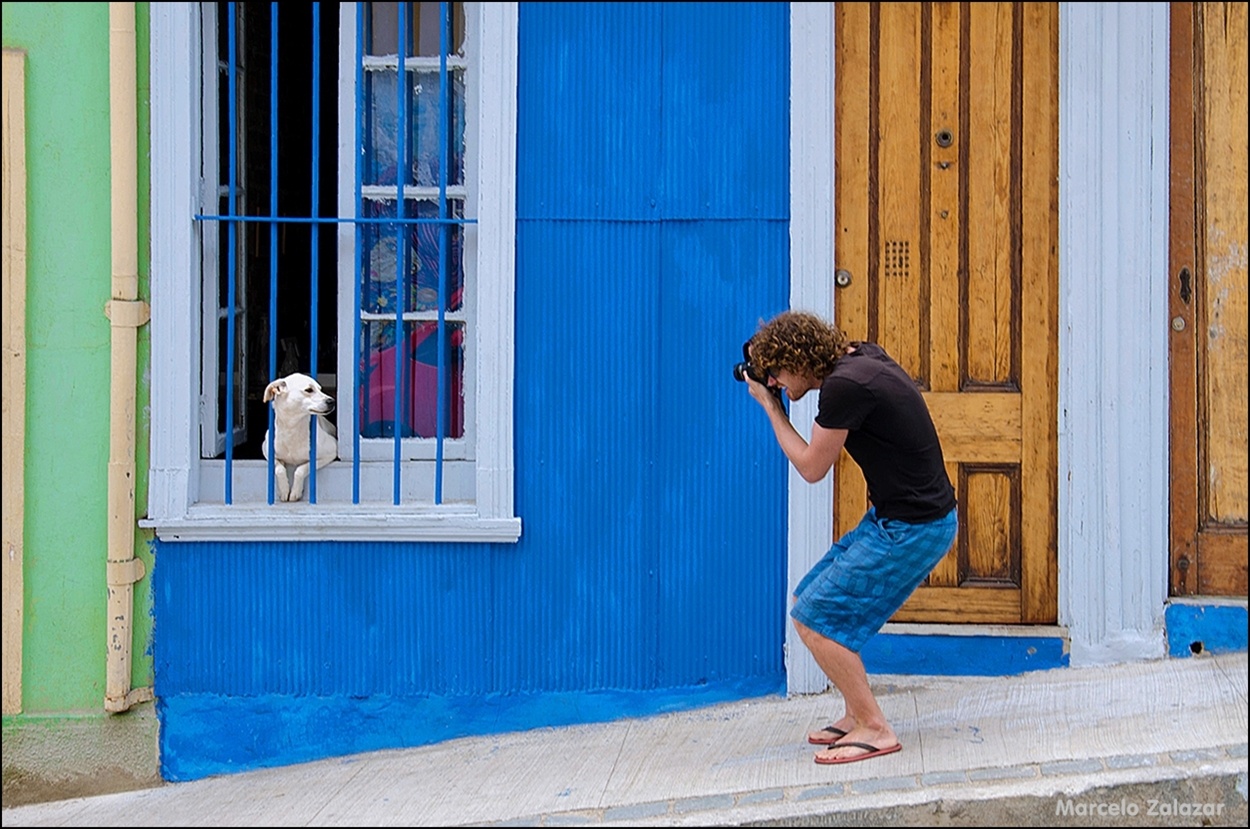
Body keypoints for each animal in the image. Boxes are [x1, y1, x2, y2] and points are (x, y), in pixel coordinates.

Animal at [262, 372, 340, 502]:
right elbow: (279, 468)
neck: (292, 428)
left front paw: (295, 492)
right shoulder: (266, 450)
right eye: (309, 390)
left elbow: (301, 469)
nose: (332, 401)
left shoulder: (331, 452)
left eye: (320, 389)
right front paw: (284, 489)